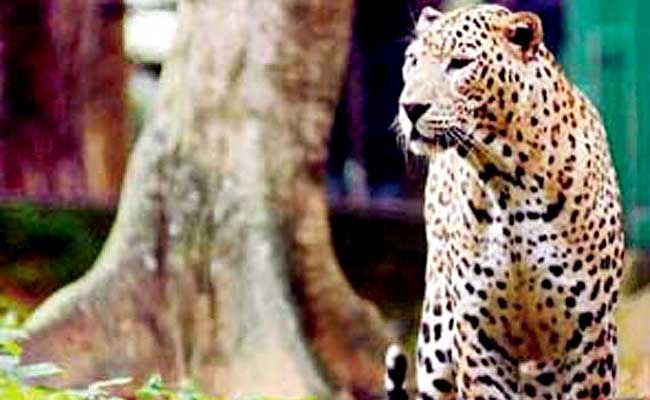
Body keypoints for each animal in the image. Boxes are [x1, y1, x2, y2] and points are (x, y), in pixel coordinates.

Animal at [385, 4, 624, 400]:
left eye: (460, 63)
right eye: (413, 61)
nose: (410, 107)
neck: (506, 181)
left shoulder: (589, 338)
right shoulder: (478, 339)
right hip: (436, 340)